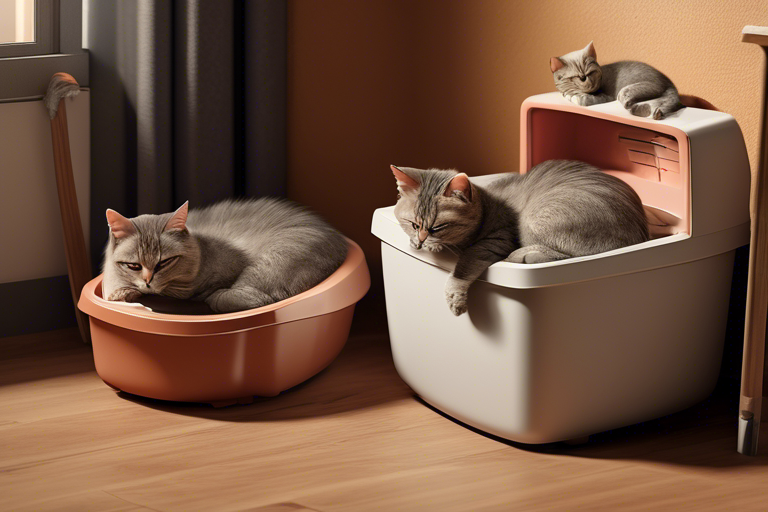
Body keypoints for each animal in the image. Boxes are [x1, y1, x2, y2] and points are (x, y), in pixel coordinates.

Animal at [100, 199, 346, 312]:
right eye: (133, 266)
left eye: (165, 262)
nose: (148, 282)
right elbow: (115, 292)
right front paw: (125, 293)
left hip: (274, 258)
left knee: (255, 299)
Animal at [390, 160, 648, 316]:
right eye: (413, 224)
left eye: (438, 227)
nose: (421, 241)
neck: (488, 206)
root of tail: (640, 237)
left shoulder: (497, 240)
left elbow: (464, 266)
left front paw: (455, 297)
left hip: (536, 218)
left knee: (567, 255)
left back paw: (522, 256)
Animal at [548, 41, 680, 120]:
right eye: (579, 77)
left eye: (590, 73)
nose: (588, 82)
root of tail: (668, 83)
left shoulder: (605, 96)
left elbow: (582, 100)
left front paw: (573, 97)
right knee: (663, 105)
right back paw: (654, 112)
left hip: (635, 89)